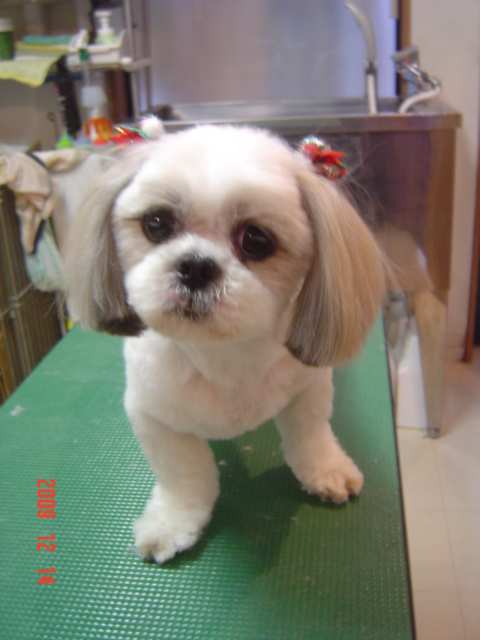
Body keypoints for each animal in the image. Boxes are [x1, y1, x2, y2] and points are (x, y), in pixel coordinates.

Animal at [66, 125, 385, 564]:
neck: (223, 354)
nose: (196, 265)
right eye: (156, 223)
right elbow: (183, 476)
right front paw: (173, 522)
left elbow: (312, 434)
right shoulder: (153, 416)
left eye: (256, 239)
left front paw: (326, 470)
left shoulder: (310, 386)